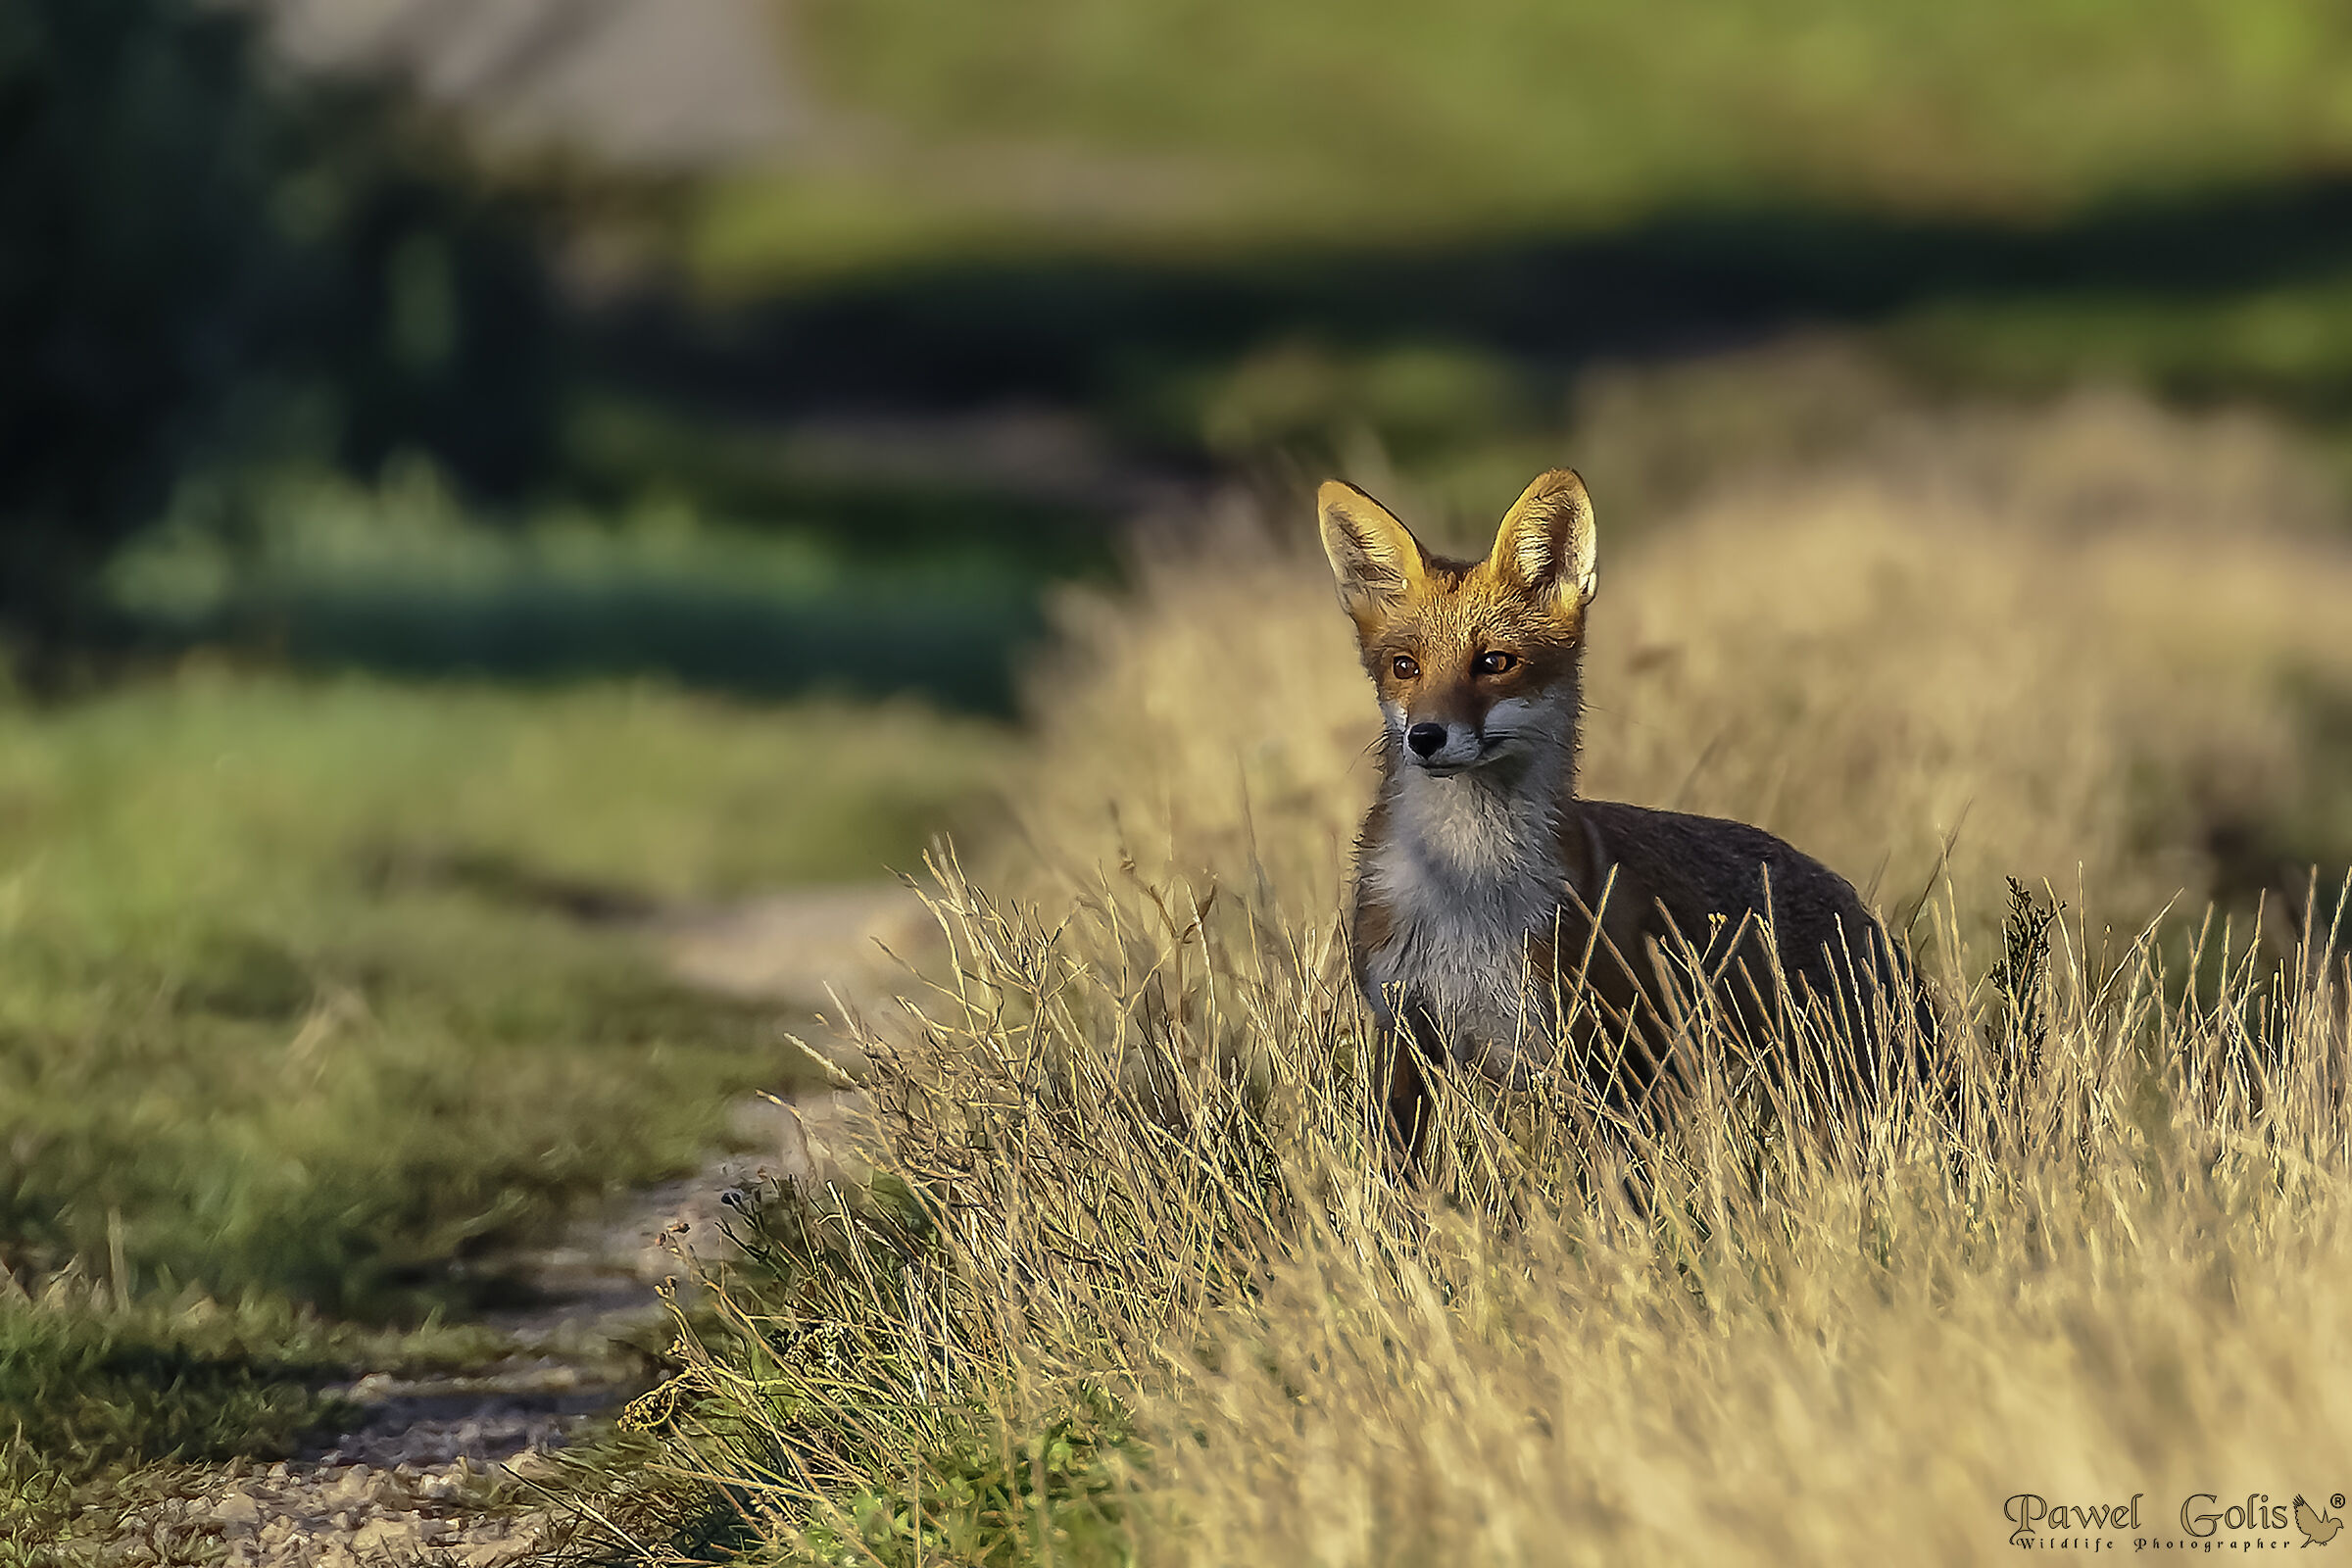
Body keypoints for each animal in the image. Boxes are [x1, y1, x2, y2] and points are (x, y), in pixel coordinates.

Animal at [1318, 469, 1918, 1152]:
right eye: (1404, 667)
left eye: (1494, 663)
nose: (1426, 736)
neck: (1466, 892)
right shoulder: (1403, 1030)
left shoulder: (1597, 1046)